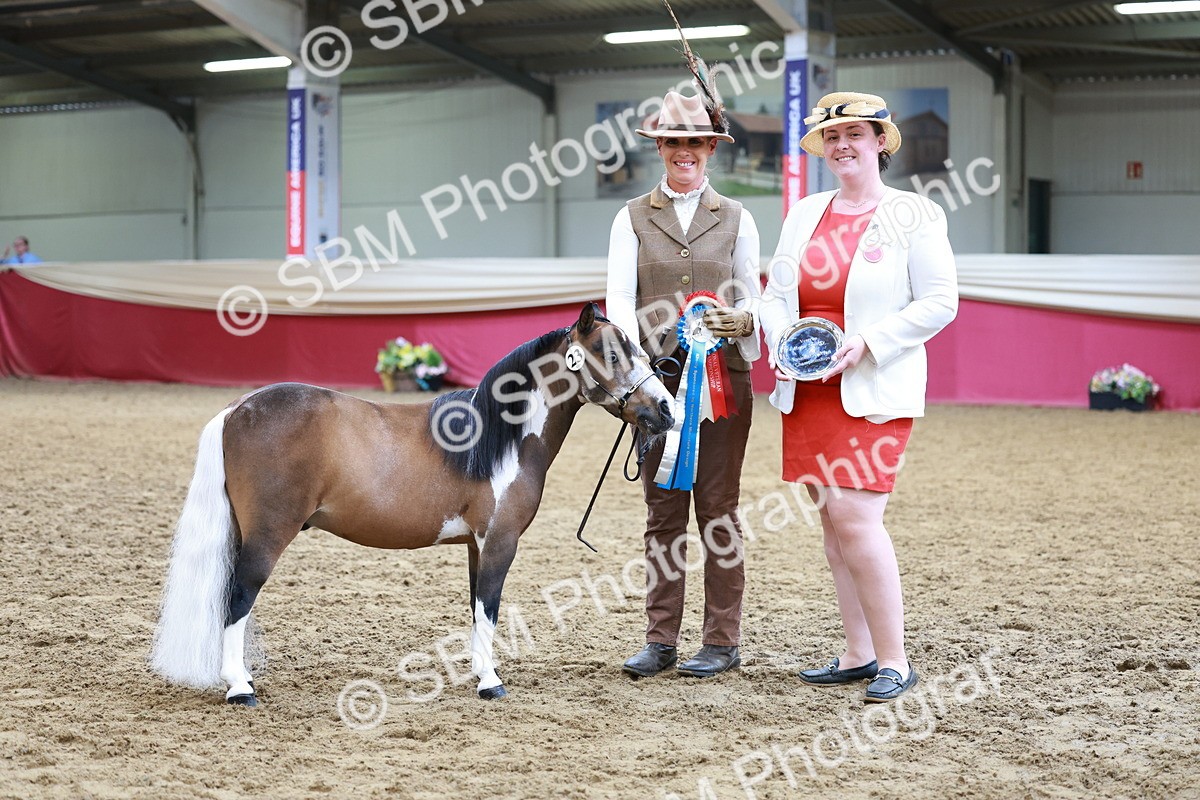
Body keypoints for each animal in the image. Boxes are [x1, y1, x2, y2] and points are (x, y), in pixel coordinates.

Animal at [150, 303, 674, 706]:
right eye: (611, 353)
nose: (667, 409)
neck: (499, 438)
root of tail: (237, 408)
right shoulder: (500, 542)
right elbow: (490, 608)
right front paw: (491, 683)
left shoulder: (476, 545)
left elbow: (477, 609)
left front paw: (479, 672)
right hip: (266, 536)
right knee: (237, 597)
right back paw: (240, 688)